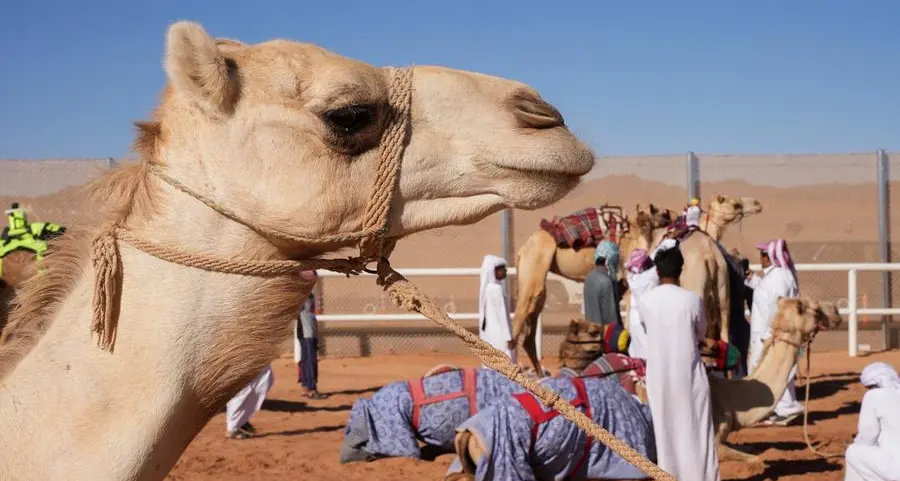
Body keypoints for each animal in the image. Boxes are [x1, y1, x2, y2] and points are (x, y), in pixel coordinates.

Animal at [512, 194, 762, 375]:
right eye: (735, 203)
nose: (757, 204)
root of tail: (524, 246)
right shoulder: (633, 282)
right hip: (536, 262)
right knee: (522, 313)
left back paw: (539, 373)